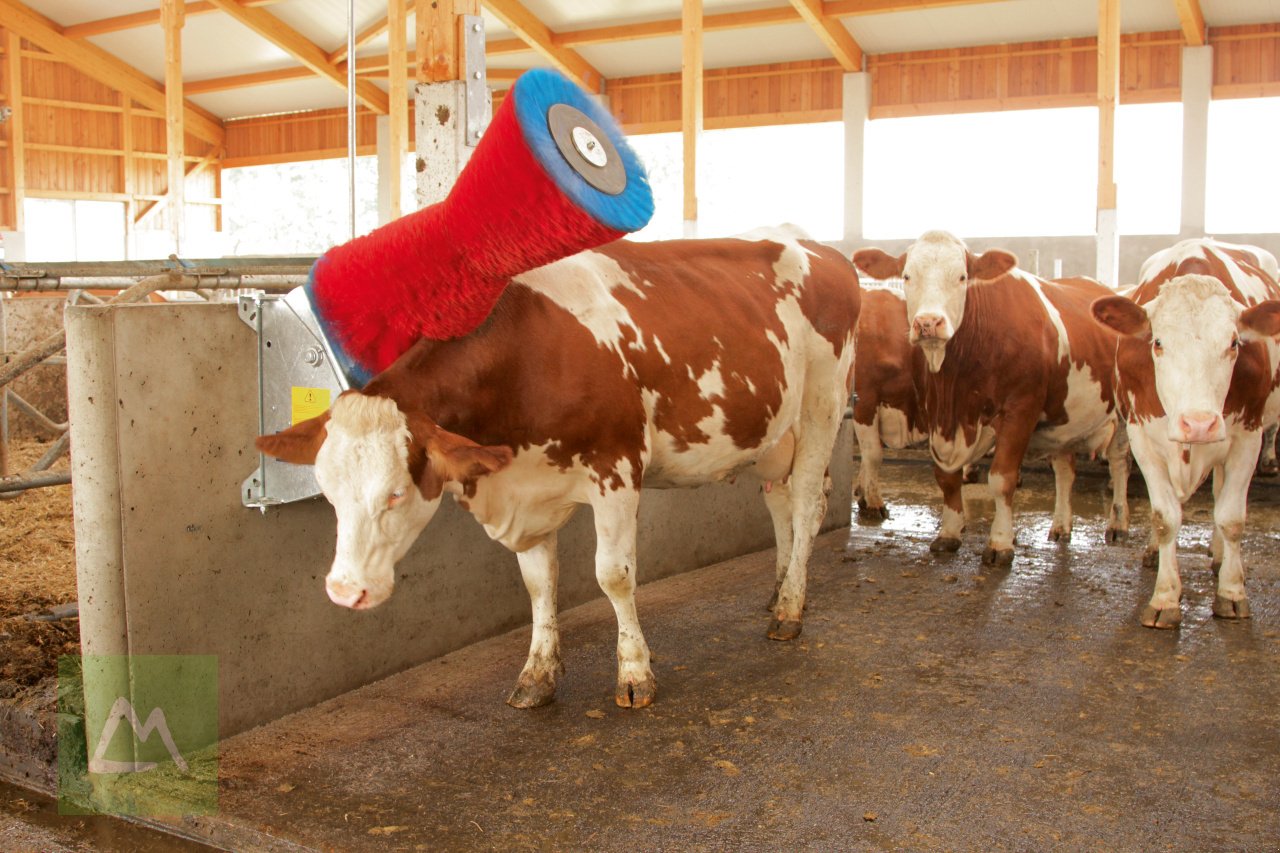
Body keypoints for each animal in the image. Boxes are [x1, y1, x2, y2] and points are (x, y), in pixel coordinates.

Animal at [253, 229, 860, 706]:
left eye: (396, 494)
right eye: (329, 493)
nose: (344, 591)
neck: (528, 355)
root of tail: (819, 246)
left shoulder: (617, 469)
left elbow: (613, 576)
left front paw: (634, 673)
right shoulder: (525, 485)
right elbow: (537, 582)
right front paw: (537, 673)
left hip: (823, 406)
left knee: (807, 503)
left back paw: (790, 611)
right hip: (773, 432)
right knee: (779, 501)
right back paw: (780, 588)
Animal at [849, 233, 1131, 563]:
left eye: (962, 277)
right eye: (907, 276)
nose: (928, 322)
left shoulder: (1019, 410)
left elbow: (1001, 479)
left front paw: (1000, 543)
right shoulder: (933, 414)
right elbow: (944, 477)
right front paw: (949, 532)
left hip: (1123, 414)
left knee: (1119, 463)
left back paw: (1118, 524)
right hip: (1065, 420)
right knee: (1064, 469)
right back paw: (1061, 526)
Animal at [1090, 236, 1280, 625]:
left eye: (1234, 343)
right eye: (1158, 342)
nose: (1198, 423)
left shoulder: (1248, 437)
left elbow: (1231, 518)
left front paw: (1232, 592)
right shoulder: (1142, 437)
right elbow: (1165, 518)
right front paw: (1164, 597)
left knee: (1221, 496)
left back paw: (1219, 556)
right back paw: (1153, 552)